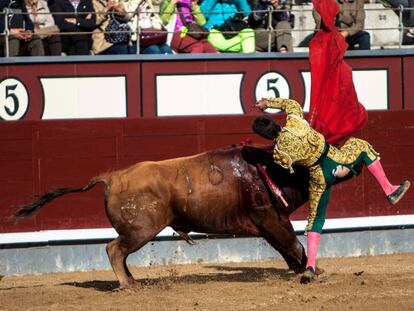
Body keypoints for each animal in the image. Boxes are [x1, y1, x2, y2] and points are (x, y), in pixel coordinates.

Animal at [14, 145, 310, 288]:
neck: (270, 170)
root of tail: (111, 176)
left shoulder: (269, 225)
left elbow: (287, 249)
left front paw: (300, 270)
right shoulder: (272, 219)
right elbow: (294, 244)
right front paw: (308, 272)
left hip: (136, 232)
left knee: (120, 252)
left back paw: (132, 280)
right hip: (141, 231)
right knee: (114, 249)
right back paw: (127, 284)